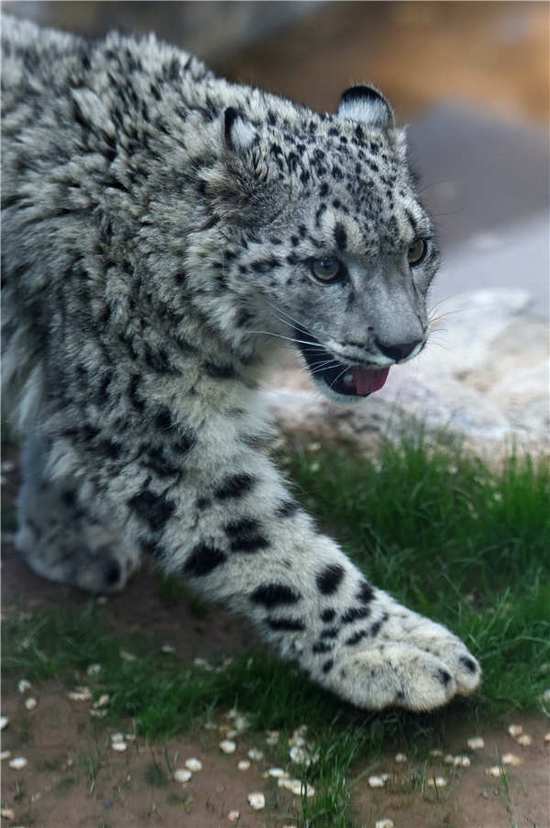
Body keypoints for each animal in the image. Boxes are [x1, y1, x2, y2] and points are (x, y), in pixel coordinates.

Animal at [2, 14, 480, 712]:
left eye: (416, 248)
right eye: (325, 266)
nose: (403, 343)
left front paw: (63, 534)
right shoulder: (152, 426)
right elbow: (272, 545)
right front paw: (397, 653)